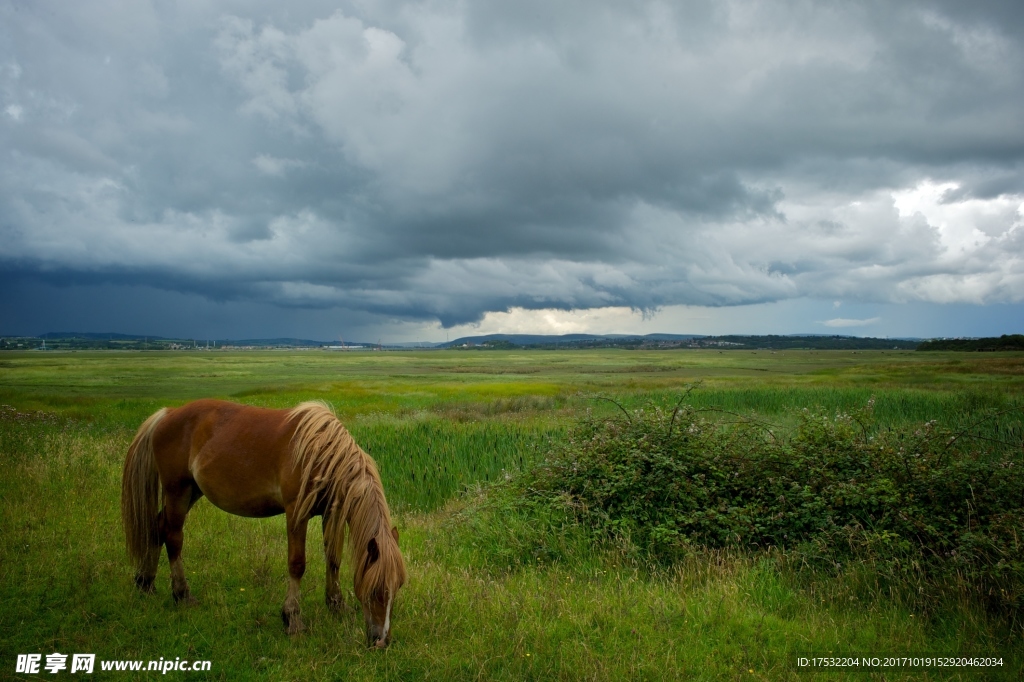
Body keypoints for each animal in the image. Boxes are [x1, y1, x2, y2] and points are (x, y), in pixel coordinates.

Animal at [121, 395, 405, 647]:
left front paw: (336, 604)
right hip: (177, 491)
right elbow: (297, 564)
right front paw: (292, 619)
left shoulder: (330, 513)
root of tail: (167, 414)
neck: (321, 453)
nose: (382, 641)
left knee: (158, 528)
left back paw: (145, 582)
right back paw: (182, 594)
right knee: (173, 538)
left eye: (398, 586)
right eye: (376, 590)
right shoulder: (296, 513)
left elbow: (333, 559)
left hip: (192, 491)